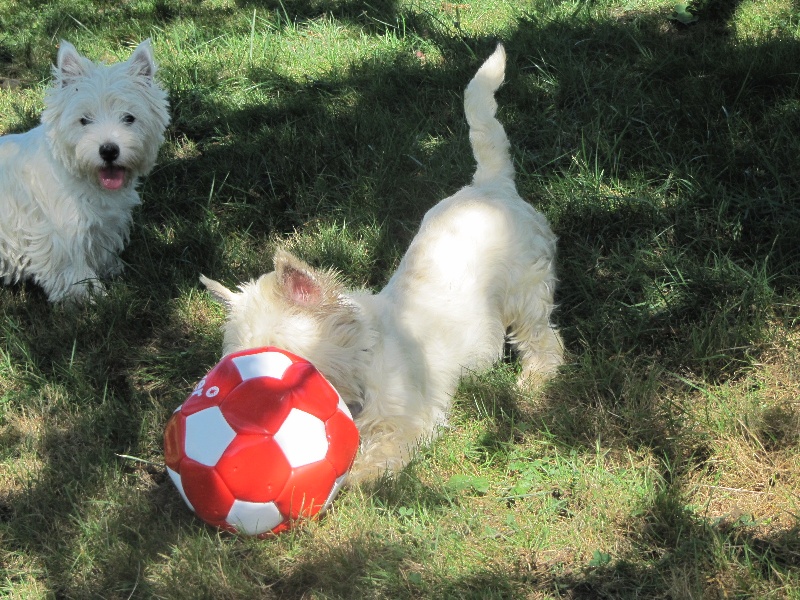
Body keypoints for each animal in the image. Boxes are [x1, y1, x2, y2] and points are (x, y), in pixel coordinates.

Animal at [0, 39, 169, 302]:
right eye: (84, 120)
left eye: (129, 118)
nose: (108, 151)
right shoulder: (61, 230)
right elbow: (73, 267)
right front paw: (89, 295)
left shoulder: (103, 224)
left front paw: (111, 270)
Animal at [200, 44, 564, 480]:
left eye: (282, 359)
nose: (251, 415)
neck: (360, 361)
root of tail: (491, 185)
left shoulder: (411, 417)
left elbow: (378, 454)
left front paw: (351, 478)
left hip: (525, 289)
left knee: (543, 337)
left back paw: (534, 379)